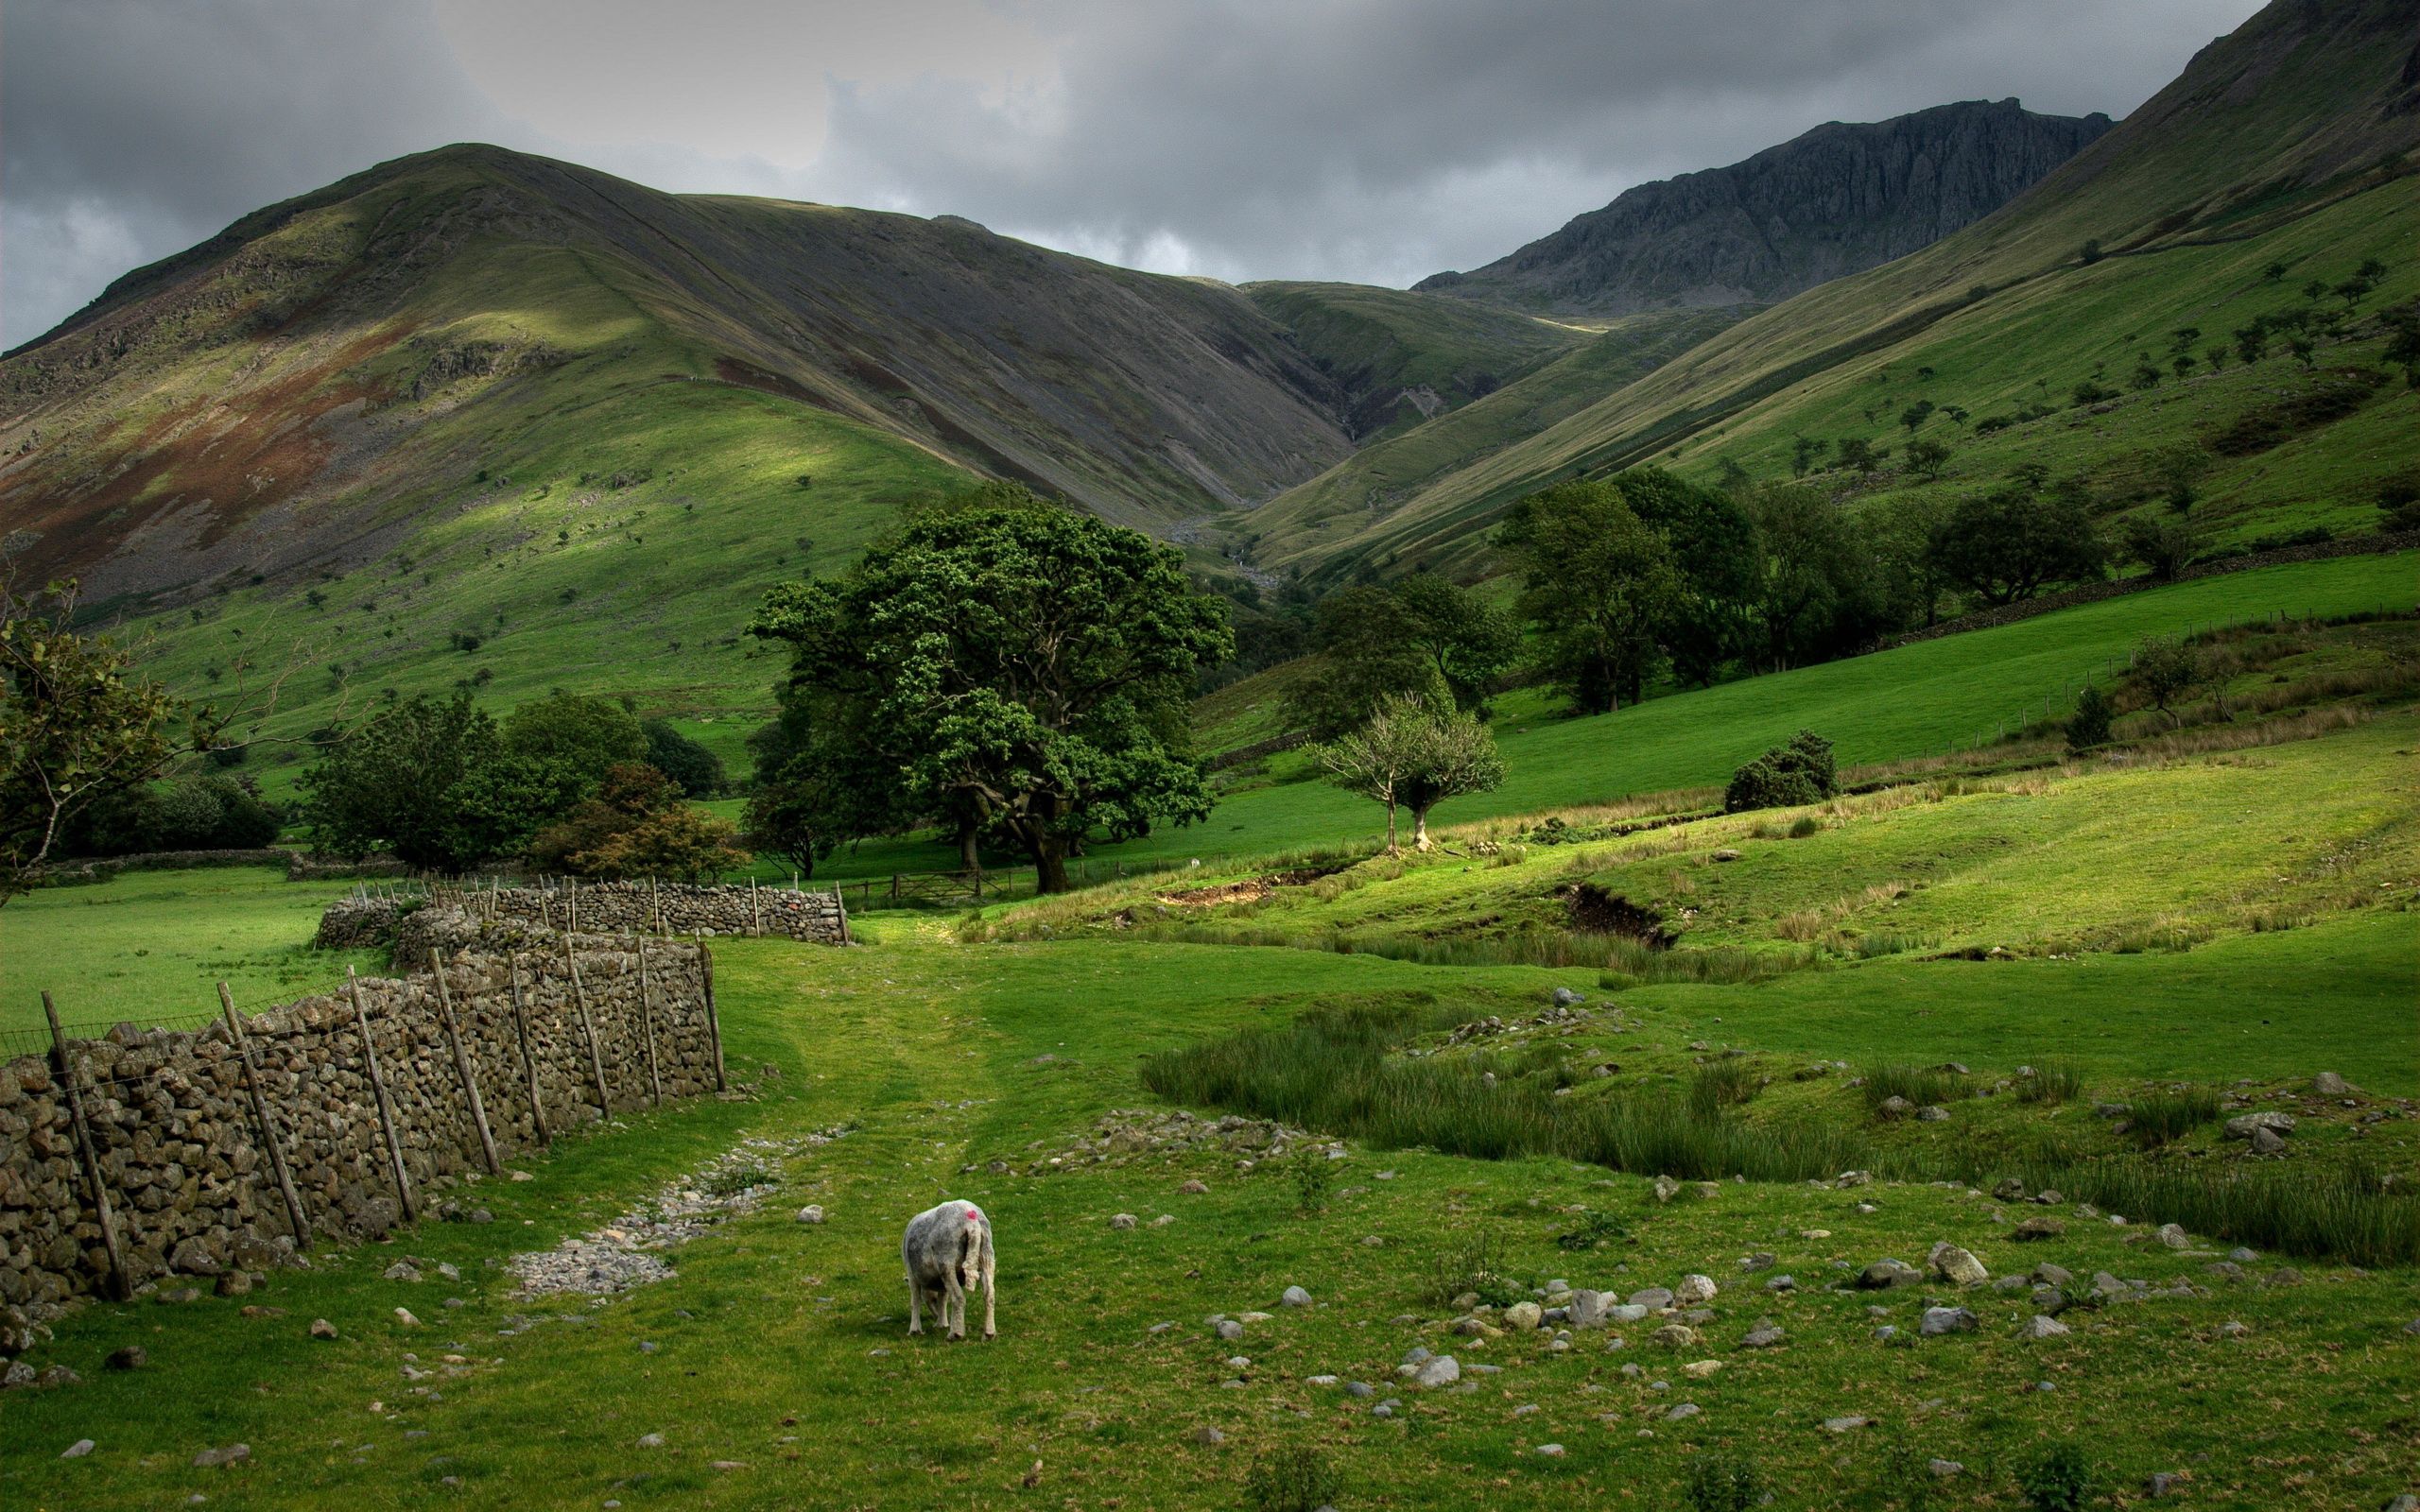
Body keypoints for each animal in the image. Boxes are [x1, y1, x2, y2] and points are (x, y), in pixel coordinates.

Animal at [900, 1194, 992, 1335]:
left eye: (932, 1300)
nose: (935, 1316)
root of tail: (971, 1221)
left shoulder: (911, 1273)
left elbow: (915, 1300)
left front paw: (915, 1329)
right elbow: (943, 1298)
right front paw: (942, 1323)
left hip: (946, 1259)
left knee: (958, 1297)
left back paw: (956, 1333)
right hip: (987, 1253)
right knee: (989, 1295)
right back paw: (989, 1333)